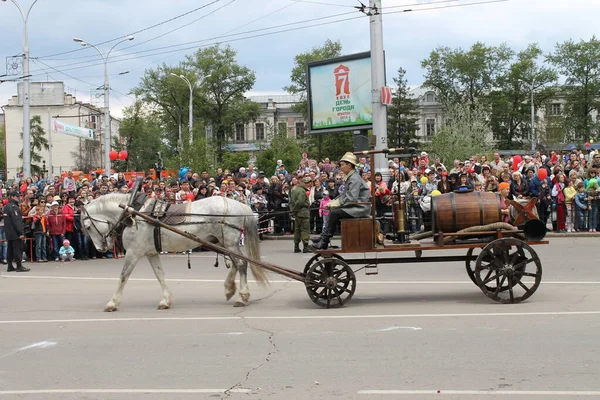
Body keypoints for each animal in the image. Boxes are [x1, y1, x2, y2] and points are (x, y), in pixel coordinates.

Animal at [81, 194, 268, 312]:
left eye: (88, 227)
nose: (101, 248)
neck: (134, 213)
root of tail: (241, 205)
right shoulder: (151, 253)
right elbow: (160, 275)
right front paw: (166, 300)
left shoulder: (133, 253)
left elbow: (123, 276)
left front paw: (112, 303)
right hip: (223, 242)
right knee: (237, 264)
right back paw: (230, 289)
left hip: (229, 242)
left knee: (241, 264)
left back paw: (242, 296)